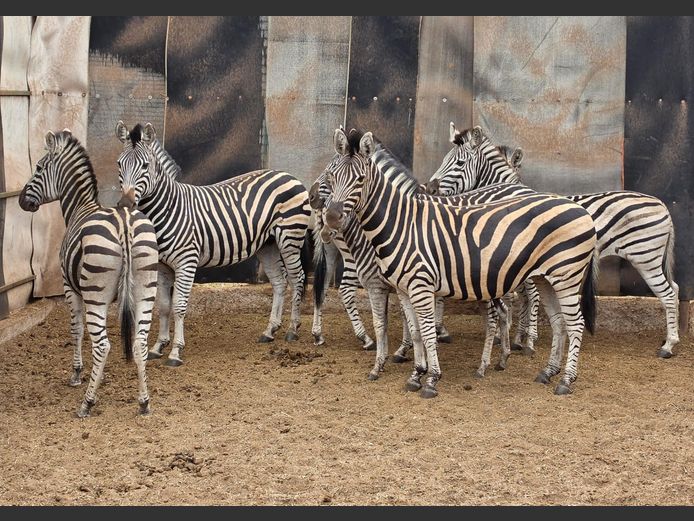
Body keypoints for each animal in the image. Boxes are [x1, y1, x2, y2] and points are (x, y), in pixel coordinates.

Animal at [18, 130, 159, 417]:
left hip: (95, 293)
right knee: (139, 342)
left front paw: (77, 373)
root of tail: (125, 223)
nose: (21, 200)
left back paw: (87, 403)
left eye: (39, 168)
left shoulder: (69, 287)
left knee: (103, 345)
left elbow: (77, 329)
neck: (80, 208)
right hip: (146, 289)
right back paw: (144, 402)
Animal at [115, 122, 312, 366]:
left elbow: (179, 306)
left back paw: (293, 329)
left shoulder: (186, 261)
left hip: (290, 238)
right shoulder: (162, 266)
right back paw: (269, 331)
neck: (168, 209)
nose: (125, 204)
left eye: (145, 165)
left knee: (297, 278)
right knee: (279, 283)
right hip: (268, 244)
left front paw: (176, 352)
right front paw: (158, 346)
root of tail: (288, 175)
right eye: (119, 164)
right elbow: (163, 307)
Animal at [321, 128, 598, 397]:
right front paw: (416, 374)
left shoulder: (416, 286)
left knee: (575, 324)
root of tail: (581, 209)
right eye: (332, 176)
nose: (331, 217)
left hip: (566, 276)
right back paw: (547, 372)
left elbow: (426, 331)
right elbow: (415, 331)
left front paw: (431, 378)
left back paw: (565, 380)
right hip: (546, 278)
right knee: (559, 322)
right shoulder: (403, 289)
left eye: (360, 180)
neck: (400, 222)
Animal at [429, 123, 679, 358]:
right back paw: (672, 338)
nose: (430, 188)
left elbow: (525, 297)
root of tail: (662, 205)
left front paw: (523, 338)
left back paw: (668, 346)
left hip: (644, 257)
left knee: (667, 294)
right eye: (443, 160)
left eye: (459, 163)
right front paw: (516, 336)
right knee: (674, 289)